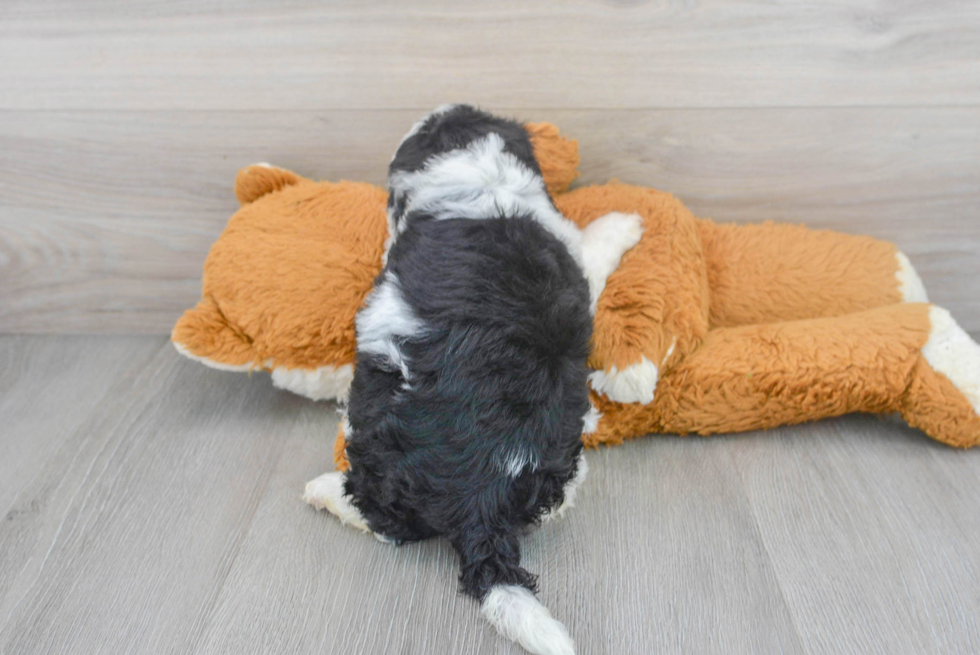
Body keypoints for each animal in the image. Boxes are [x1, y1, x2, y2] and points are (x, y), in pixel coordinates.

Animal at [306, 104, 644, 655]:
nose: (442, 108)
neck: (475, 174)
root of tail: (479, 497)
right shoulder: (573, 263)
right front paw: (625, 222)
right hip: (556, 459)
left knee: (386, 520)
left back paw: (324, 489)